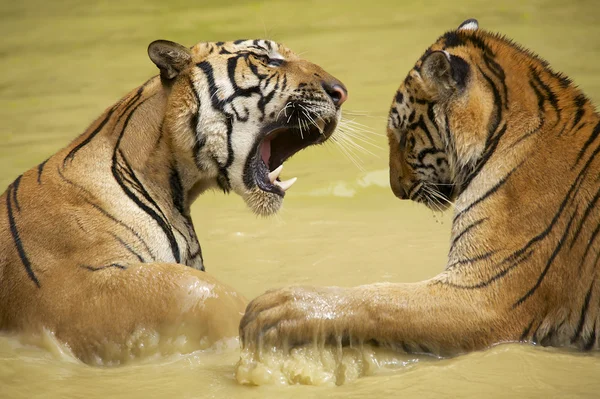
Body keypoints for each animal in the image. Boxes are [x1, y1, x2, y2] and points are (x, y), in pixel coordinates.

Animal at [239, 18, 600, 358]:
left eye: (402, 135)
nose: (396, 189)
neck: (503, 131)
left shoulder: (483, 297)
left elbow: (382, 298)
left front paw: (279, 307)